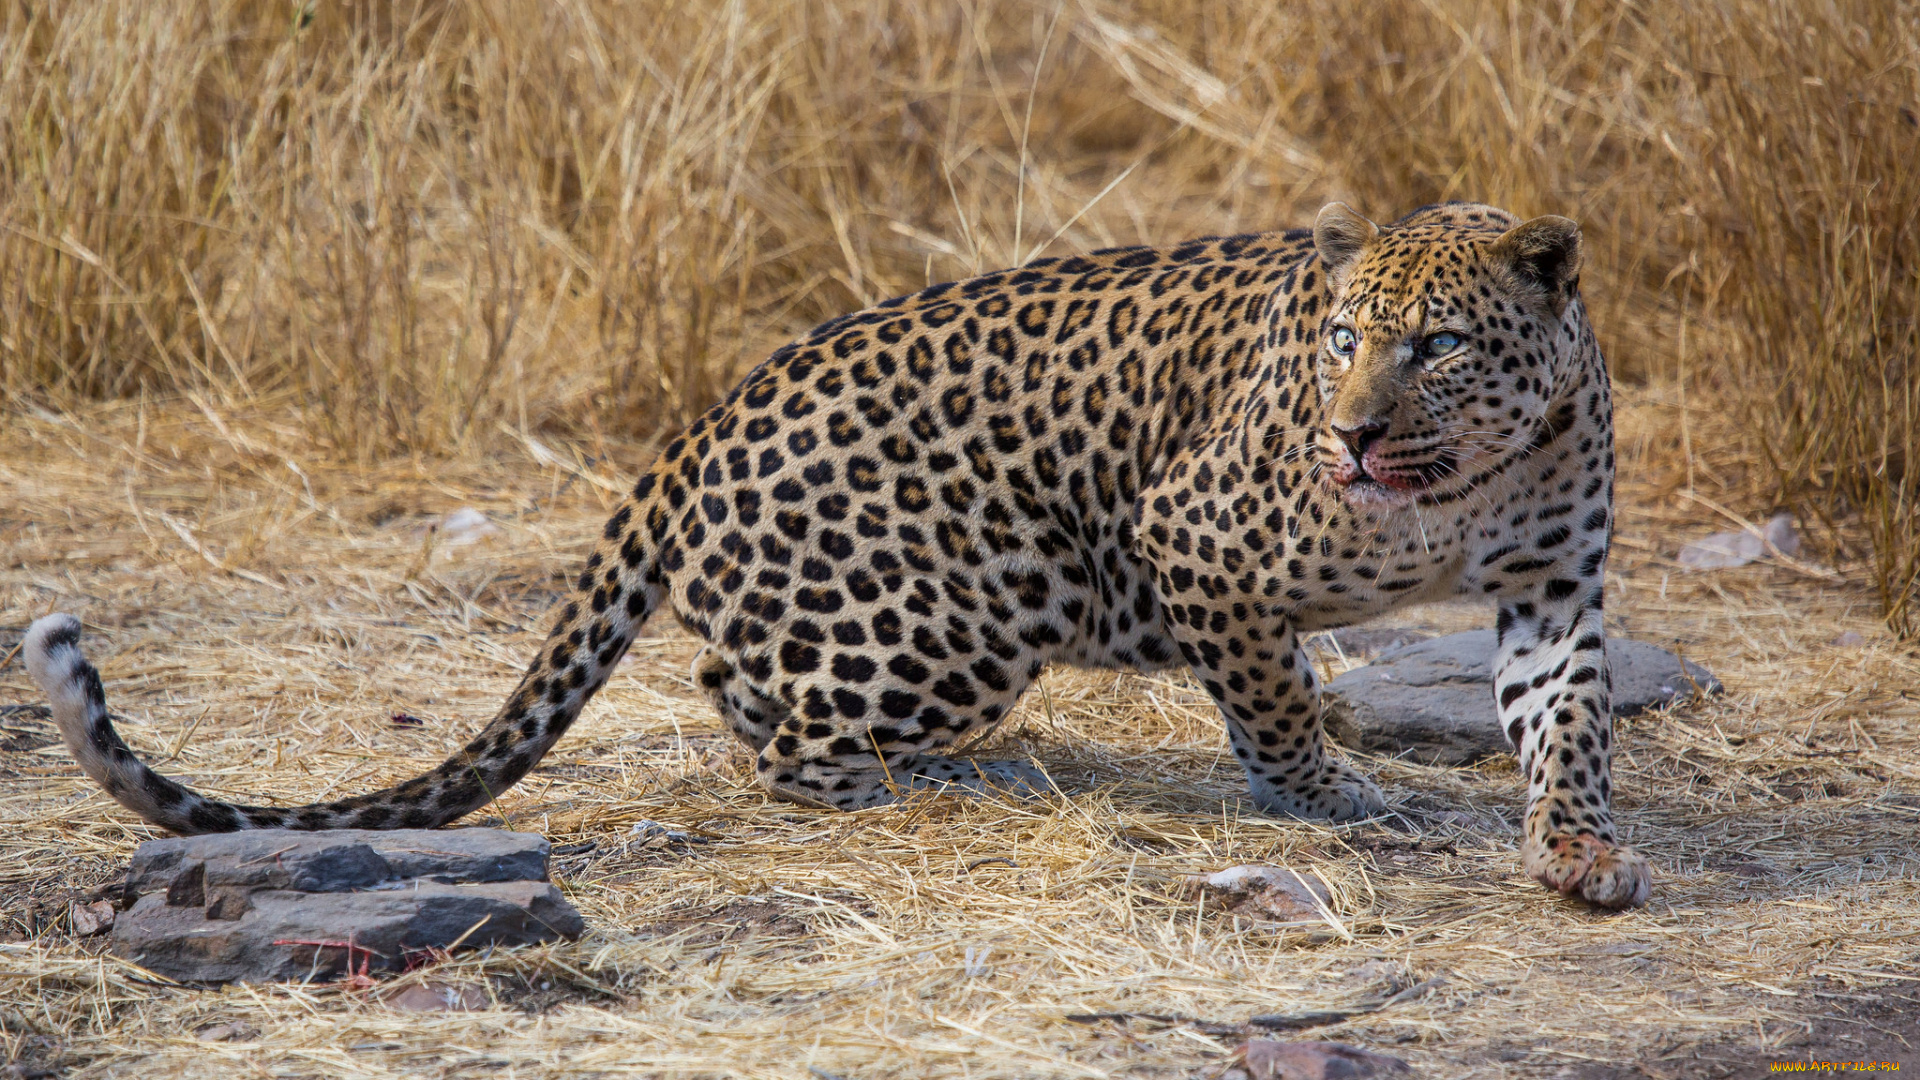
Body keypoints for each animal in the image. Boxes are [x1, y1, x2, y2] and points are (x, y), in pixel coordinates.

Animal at [18, 197, 1651, 903]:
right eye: (1342, 339)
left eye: (1437, 345)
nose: (1352, 434)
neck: (1468, 482)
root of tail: (698, 421)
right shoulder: (1192, 540)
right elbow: (1271, 700)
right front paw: (1331, 798)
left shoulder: (1551, 594)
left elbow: (1567, 728)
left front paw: (1577, 849)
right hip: (972, 610)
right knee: (791, 744)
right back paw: (943, 785)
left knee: (734, 690)